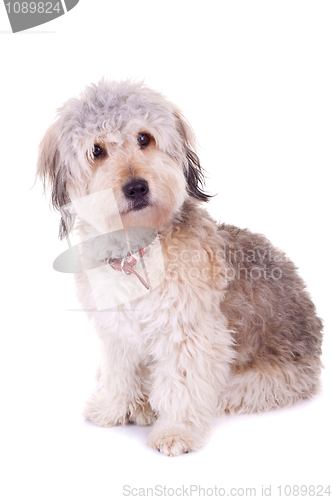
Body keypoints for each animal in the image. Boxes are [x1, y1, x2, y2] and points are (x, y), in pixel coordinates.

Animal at [36, 79, 322, 458]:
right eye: (97, 150)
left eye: (144, 138)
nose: (136, 187)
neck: (138, 250)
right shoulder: (118, 331)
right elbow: (118, 371)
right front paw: (114, 408)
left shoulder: (190, 332)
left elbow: (183, 385)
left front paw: (176, 430)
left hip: (262, 382)